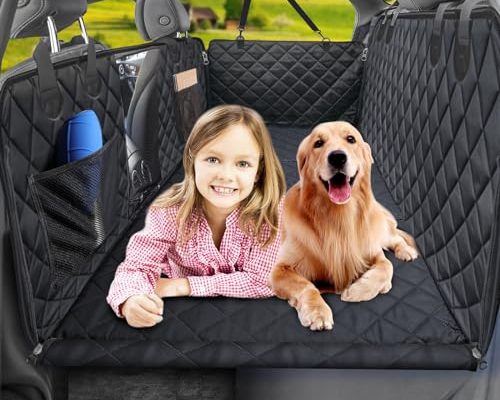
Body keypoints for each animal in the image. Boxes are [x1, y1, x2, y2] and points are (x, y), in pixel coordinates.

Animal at [270, 122, 418, 332]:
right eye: (318, 143)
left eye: (350, 139)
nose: (337, 157)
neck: (338, 217)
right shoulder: (280, 270)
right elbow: (306, 285)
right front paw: (318, 312)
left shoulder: (373, 251)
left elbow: (386, 266)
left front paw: (357, 291)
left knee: (395, 237)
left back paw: (406, 251)